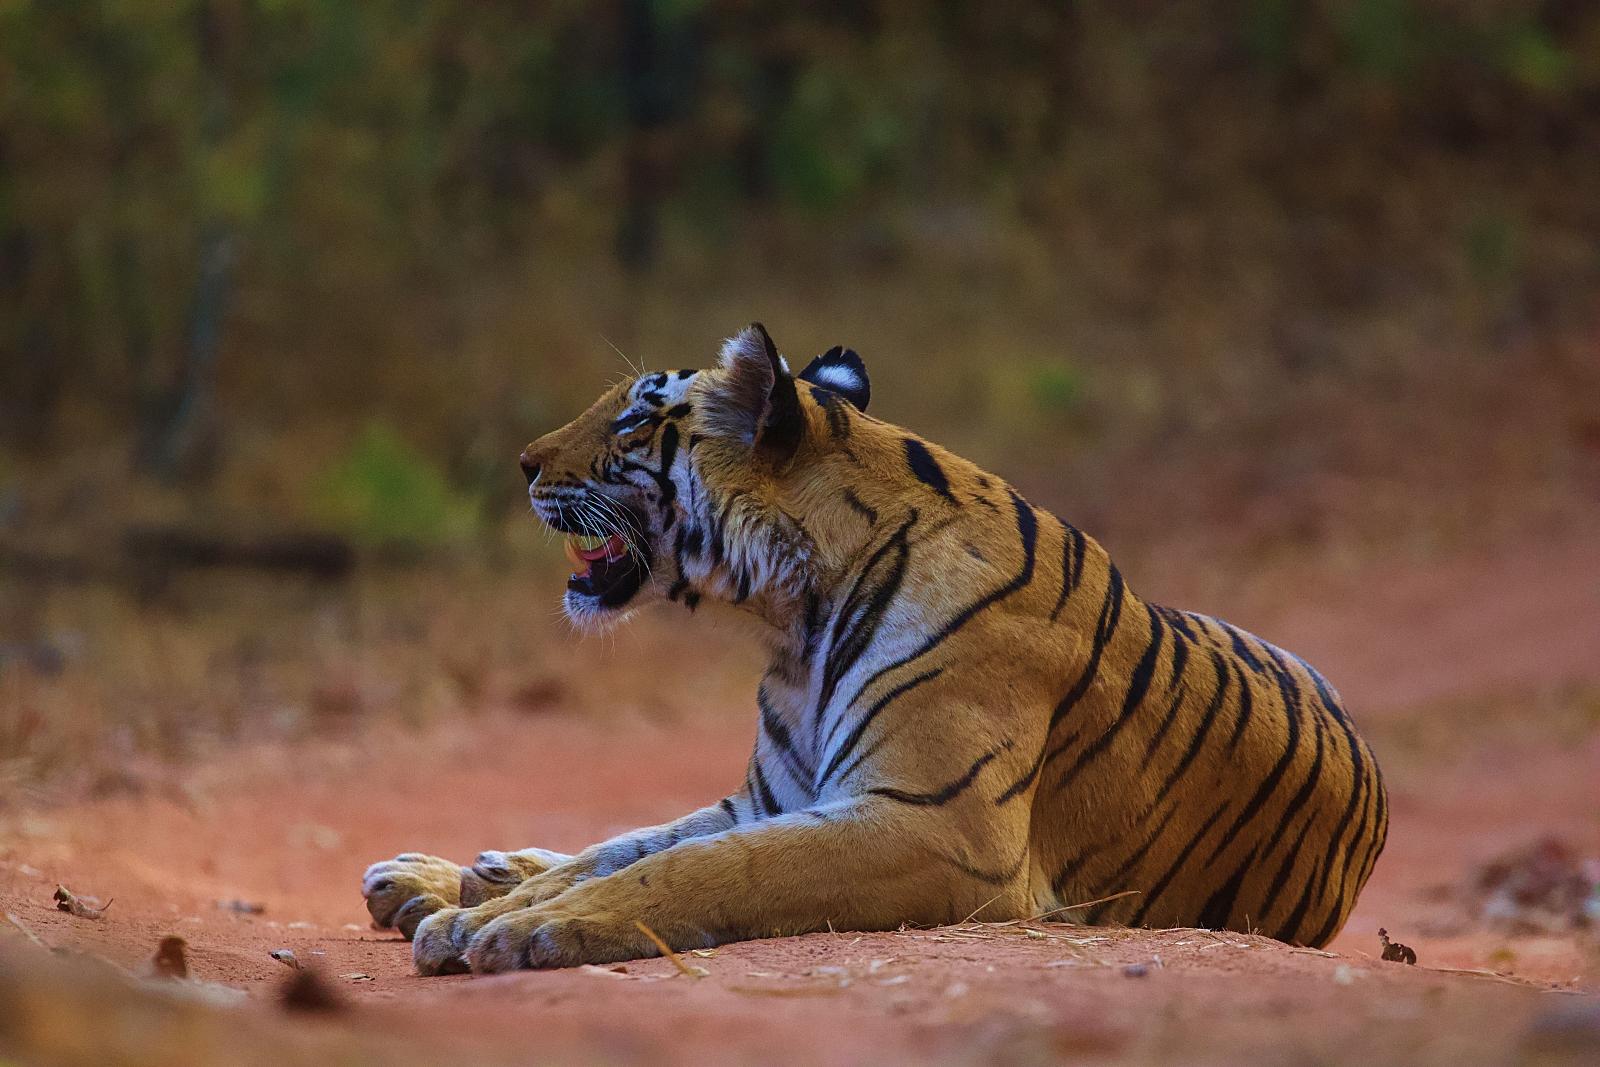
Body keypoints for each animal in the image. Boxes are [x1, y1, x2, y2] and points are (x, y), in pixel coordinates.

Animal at [363, 323, 1388, 979]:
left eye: (632, 419)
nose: (524, 463)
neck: (791, 621)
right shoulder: (773, 797)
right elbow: (625, 846)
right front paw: (480, 908)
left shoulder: (936, 824)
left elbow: (701, 866)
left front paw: (519, 927)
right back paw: (437, 876)